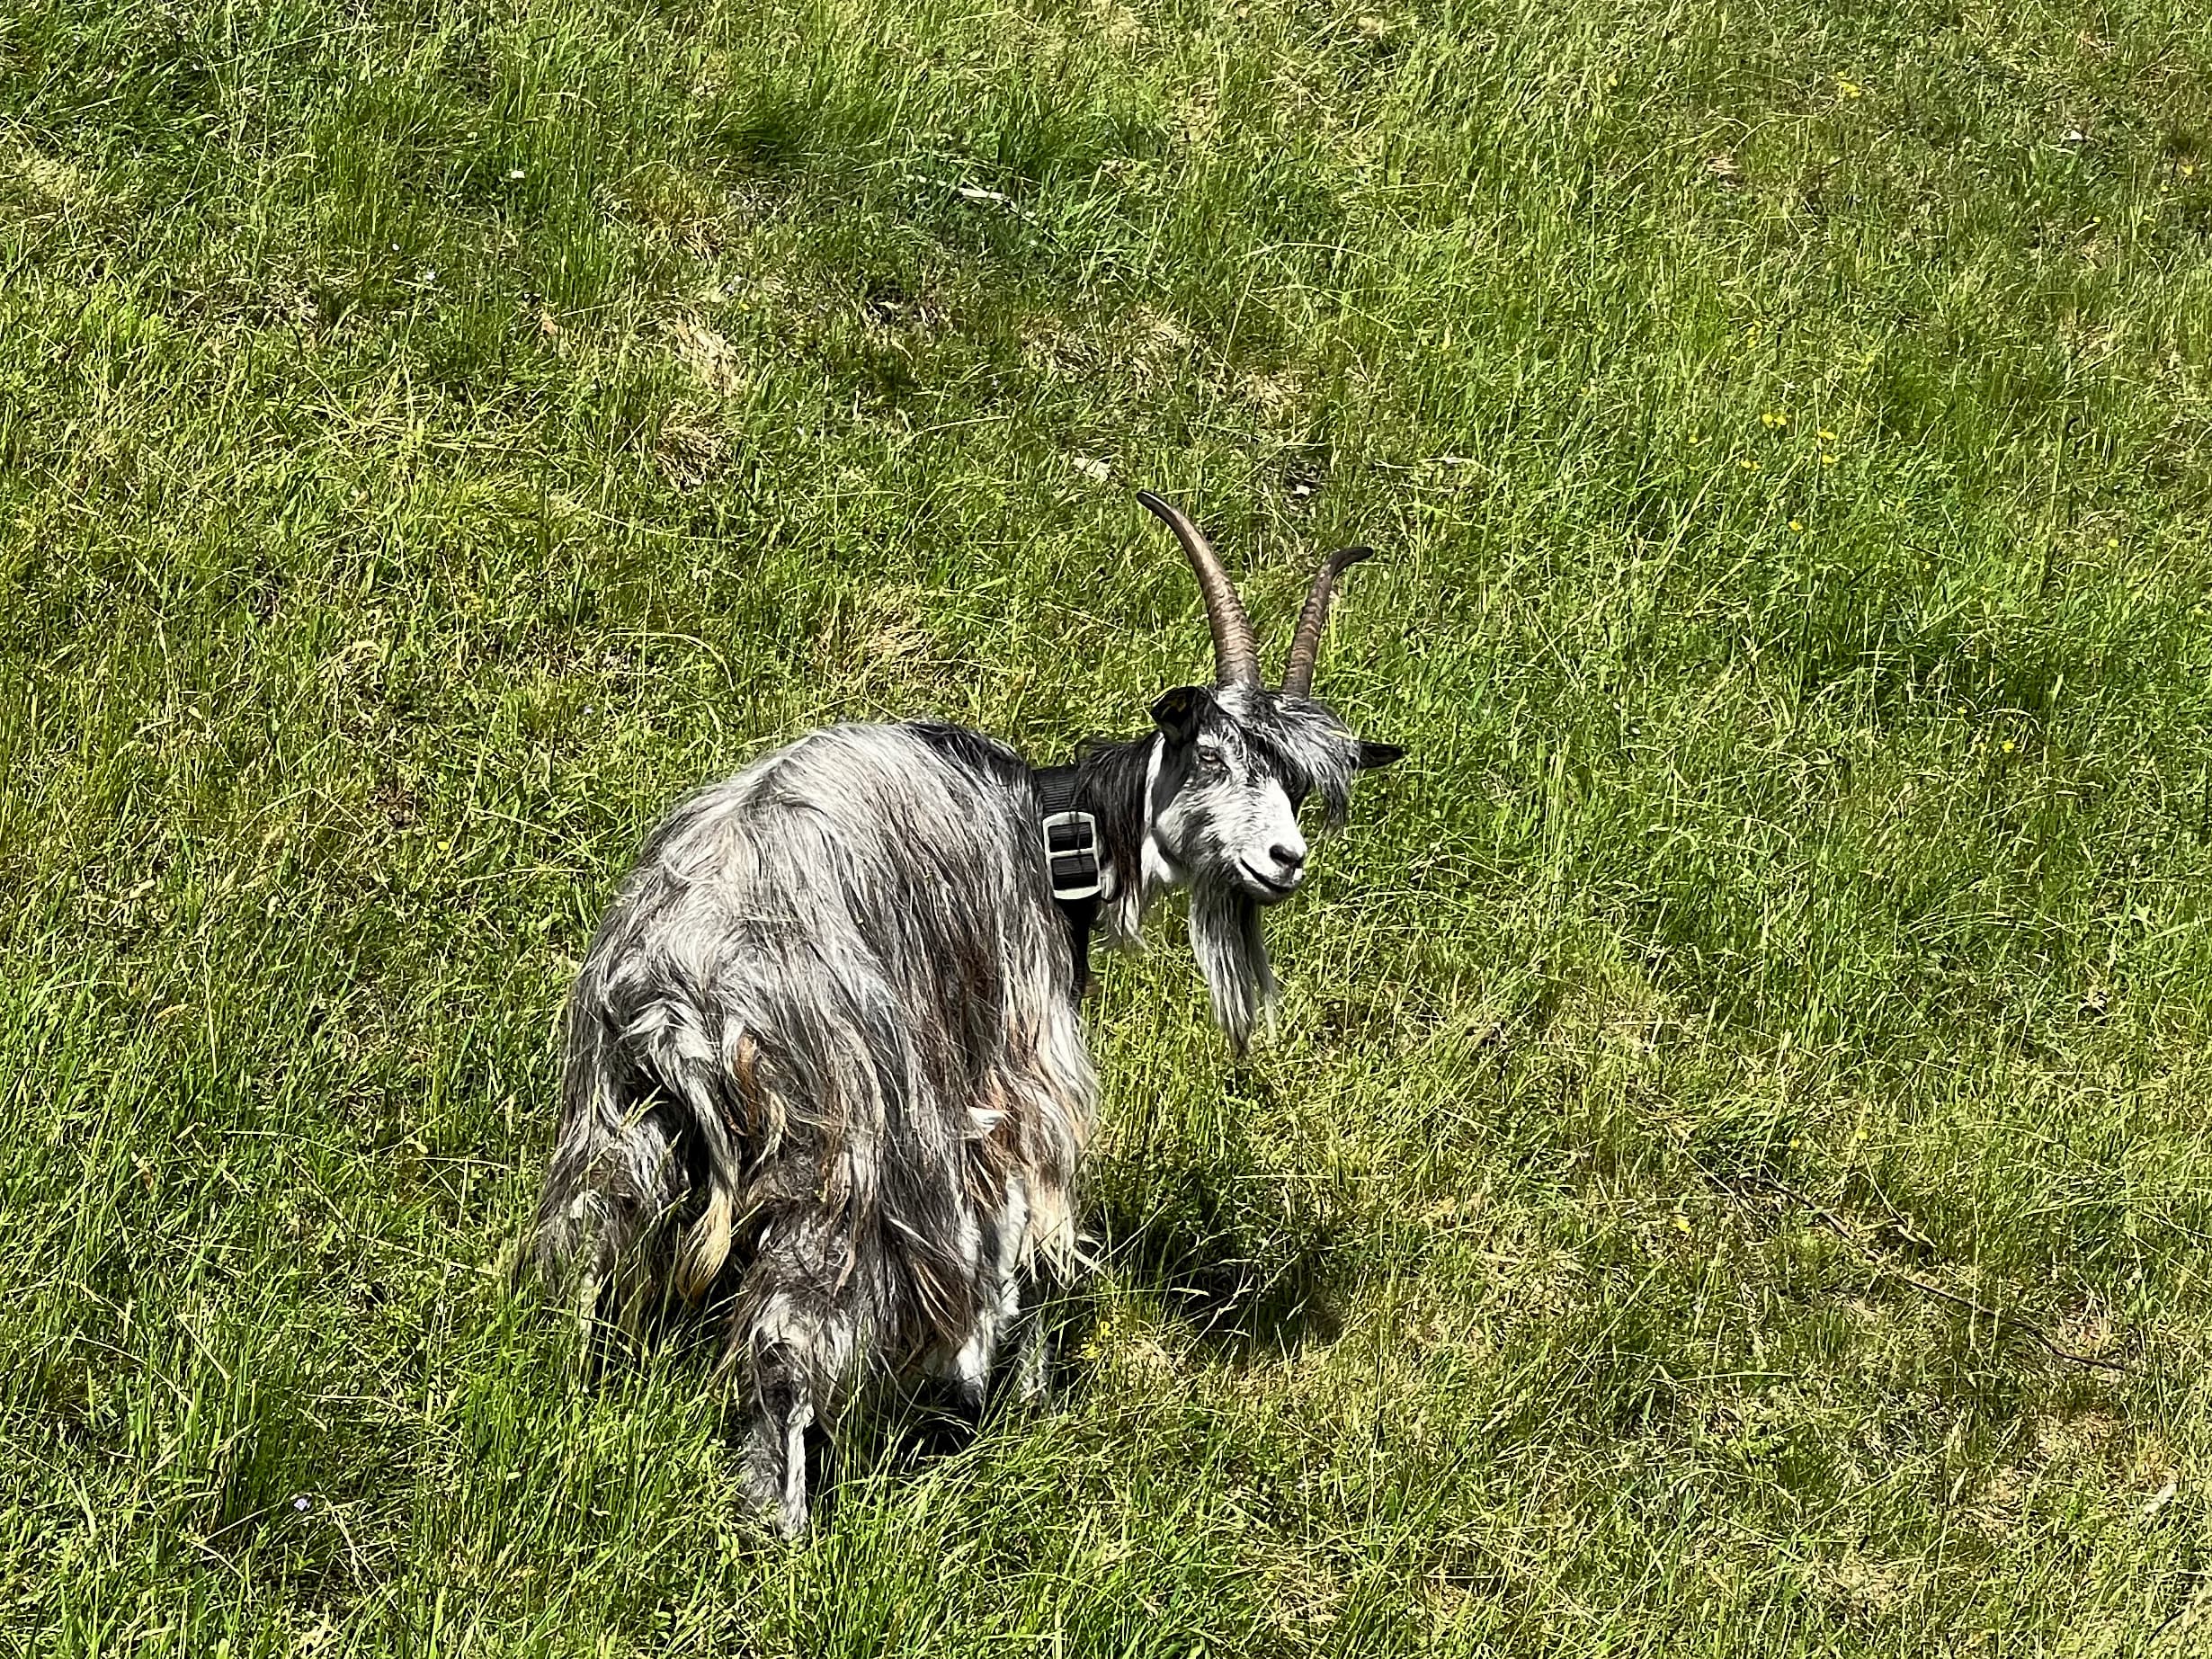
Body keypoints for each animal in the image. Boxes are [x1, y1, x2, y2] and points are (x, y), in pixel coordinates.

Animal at [526, 491, 1401, 1536]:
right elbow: (1015, 1218)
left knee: (588, 1250)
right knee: (790, 1335)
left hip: (621, 1113)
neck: (1053, 829)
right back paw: (785, 1531)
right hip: (849, 1143)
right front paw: (1008, 1384)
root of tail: (683, 996)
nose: (1284, 860)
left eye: (1300, 784)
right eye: (1210, 754)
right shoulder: (1012, 1058)